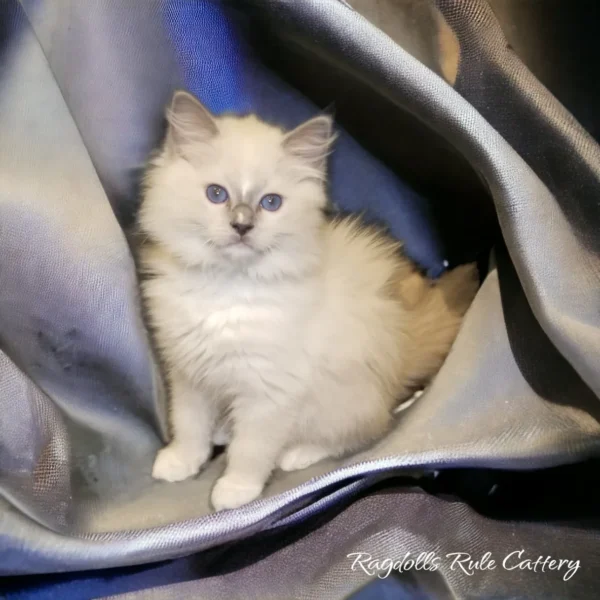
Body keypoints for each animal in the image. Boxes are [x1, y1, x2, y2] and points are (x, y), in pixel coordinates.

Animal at [136, 89, 478, 510]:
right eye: (216, 194)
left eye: (270, 203)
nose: (242, 225)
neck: (226, 289)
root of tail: (402, 355)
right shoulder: (188, 373)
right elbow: (188, 426)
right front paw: (181, 462)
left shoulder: (270, 392)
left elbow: (252, 449)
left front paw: (236, 490)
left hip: (342, 401)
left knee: (358, 434)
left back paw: (296, 453)